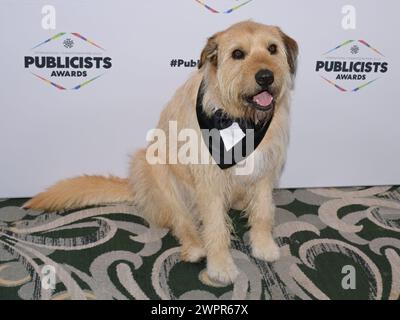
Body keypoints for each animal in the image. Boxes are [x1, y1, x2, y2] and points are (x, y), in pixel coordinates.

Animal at [24, 21, 296, 284]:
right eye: (238, 54)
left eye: (272, 49)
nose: (266, 77)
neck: (241, 119)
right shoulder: (208, 180)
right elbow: (216, 226)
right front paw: (220, 266)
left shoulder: (265, 170)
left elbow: (263, 212)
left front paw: (263, 245)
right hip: (153, 168)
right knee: (181, 220)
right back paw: (195, 246)